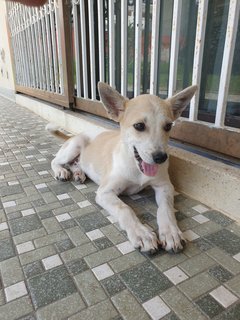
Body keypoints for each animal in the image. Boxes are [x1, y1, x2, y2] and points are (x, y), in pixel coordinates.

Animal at [47, 83, 197, 255]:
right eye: (139, 126)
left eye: (168, 126)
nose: (161, 158)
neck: (136, 167)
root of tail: (74, 135)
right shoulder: (105, 192)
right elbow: (125, 209)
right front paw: (141, 233)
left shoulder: (165, 186)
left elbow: (165, 209)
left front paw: (171, 232)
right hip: (74, 147)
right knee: (55, 160)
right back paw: (61, 171)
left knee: (75, 163)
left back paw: (78, 173)